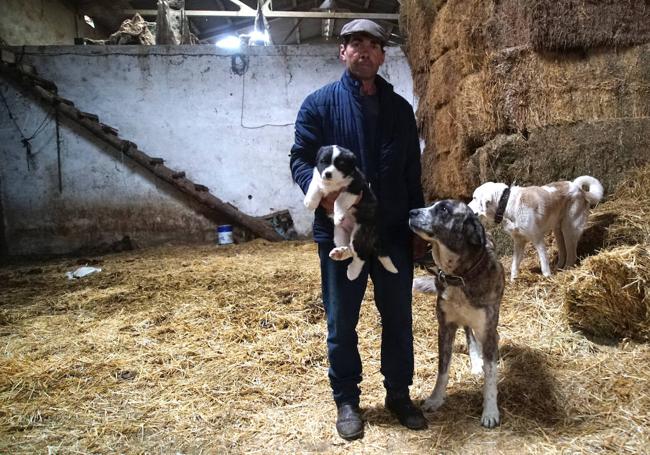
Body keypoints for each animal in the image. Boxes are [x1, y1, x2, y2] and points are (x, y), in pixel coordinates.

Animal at [302, 146, 394, 282]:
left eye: (340, 164)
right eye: (323, 161)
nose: (327, 174)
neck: (334, 183)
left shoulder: (354, 188)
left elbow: (339, 199)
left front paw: (338, 215)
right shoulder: (319, 177)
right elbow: (314, 185)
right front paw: (310, 202)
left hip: (361, 232)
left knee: (360, 255)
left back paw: (352, 272)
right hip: (339, 234)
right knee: (350, 249)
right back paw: (340, 252)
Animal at [408, 201, 504, 430]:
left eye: (443, 209)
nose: (411, 212)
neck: (459, 276)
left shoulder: (487, 330)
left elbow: (490, 376)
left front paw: (490, 411)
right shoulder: (445, 327)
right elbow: (442, 370)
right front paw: (435, 399)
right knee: (469, 333)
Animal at [468, 175, 600, 280]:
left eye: (474, 198)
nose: (466, 206)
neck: (505, 204)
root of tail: (579, 189)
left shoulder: (537, 239)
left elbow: (544, 262)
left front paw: (547, 277)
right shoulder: (519, 242)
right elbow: (514, 264)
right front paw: (513, 280)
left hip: (569, 228)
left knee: (572, 254)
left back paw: (567, 269)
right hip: (558, 231)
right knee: (563, 251)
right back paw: (559, 267)